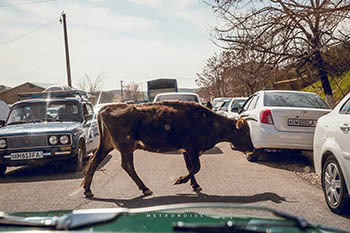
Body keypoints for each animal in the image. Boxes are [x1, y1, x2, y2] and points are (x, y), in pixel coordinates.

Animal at [81, 101, 254, 198]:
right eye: (245, 133)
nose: (252, 148)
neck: (207, 121)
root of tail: (105, 109)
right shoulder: (191, 149)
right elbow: (196, 167)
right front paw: (180, 180)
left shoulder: (186, 151)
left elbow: (190, 167)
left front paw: (195, 185)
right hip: (126, 147)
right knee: (127, 165)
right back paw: (145, 189)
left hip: (107, 146)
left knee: (94, 161)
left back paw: (87, 190)